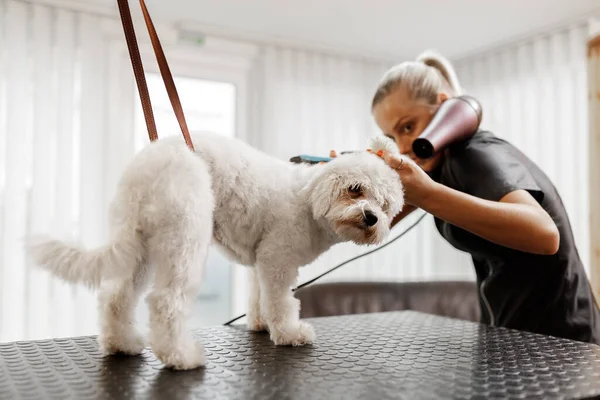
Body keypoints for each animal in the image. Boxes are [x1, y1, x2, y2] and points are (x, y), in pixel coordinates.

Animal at [27, 133, 404, 370]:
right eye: (355, 189)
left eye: (385, 205)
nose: (371, 217)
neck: (309, 198)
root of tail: (147, 166)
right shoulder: (278, 258)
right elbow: (282, 302)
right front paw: (289, 334)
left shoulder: (260, 261)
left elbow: (258, 296)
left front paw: (259, 323)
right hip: (185, 235)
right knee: (165, 302)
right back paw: (181, 357)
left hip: (140, 244)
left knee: (116, 296)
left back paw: (121, 344)